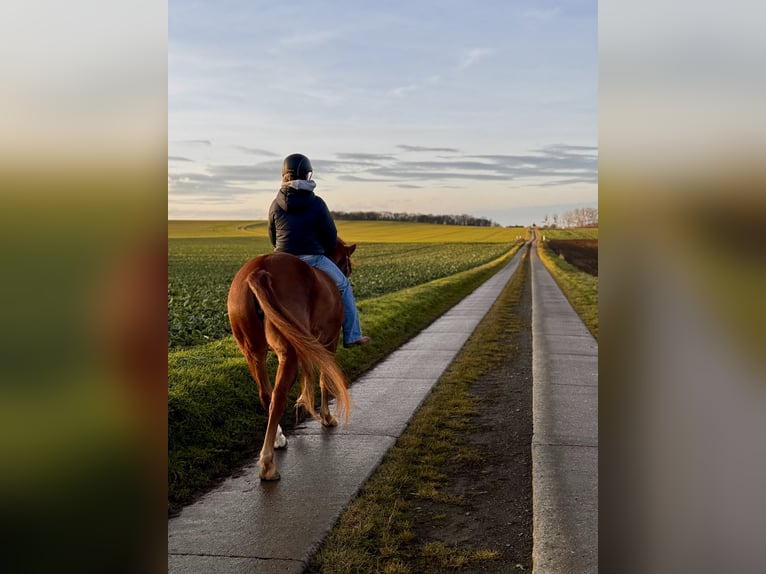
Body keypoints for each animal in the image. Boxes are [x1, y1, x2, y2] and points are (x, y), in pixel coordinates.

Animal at [226, 239, 356, 481]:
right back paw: (267, 464)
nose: (347, 273)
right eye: (347, 264)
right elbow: (324, 379)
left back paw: (278, 439)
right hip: (289, 353)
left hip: (253, 352)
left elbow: (310, 375)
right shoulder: (328, 343)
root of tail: (259, 271)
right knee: (278, 397)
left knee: (266, 395)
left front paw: (303, 405)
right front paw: (326, 417)